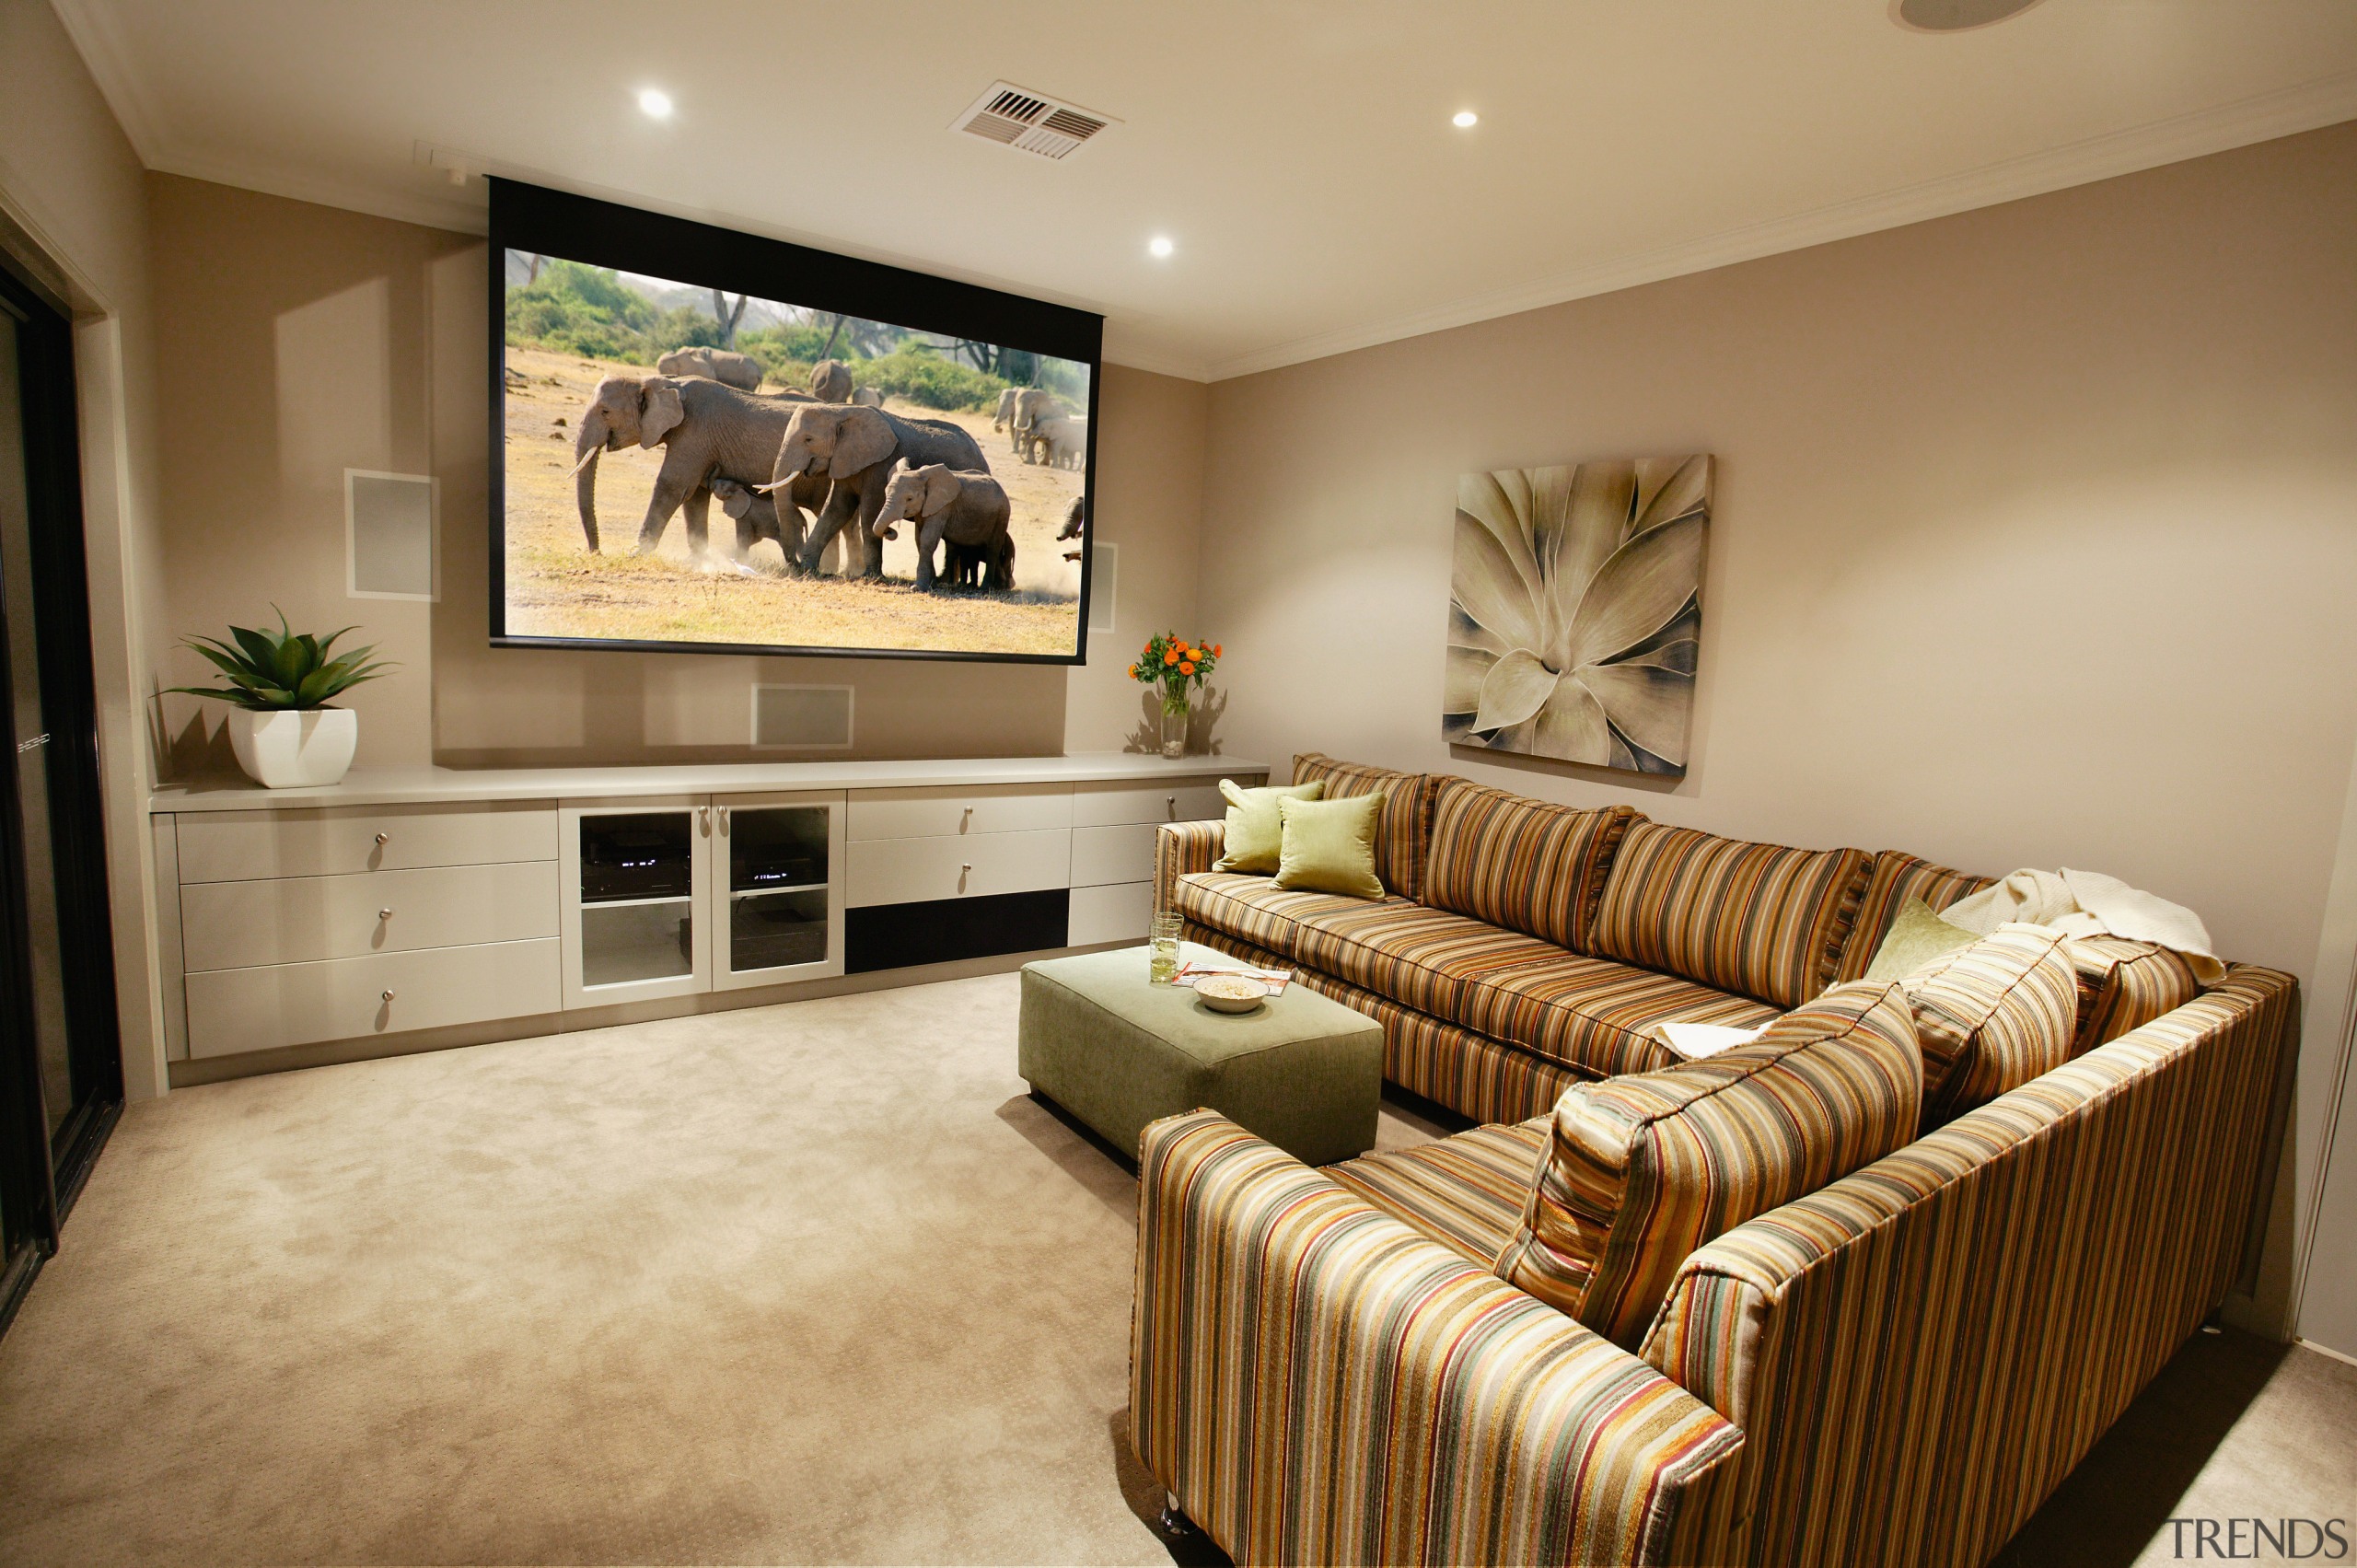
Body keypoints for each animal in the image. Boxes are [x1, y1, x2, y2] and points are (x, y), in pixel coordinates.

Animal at [573, 375, 825, 556]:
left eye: (605, 412)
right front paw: (699, 559)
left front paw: (636, 554)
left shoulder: (693, 433)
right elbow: (695, 497)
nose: (597, 553)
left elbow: (672, 486)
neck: (658, 382)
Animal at [763, 401, 985, 577]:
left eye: (808, 439)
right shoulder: (846, 460)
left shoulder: (881, 464)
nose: (794, 565)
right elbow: (835, 510)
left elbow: (870, 513)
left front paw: (870, 577)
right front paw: (809, 570)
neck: (840, 411)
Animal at [872, 464, 1008, 594]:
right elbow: (919, 540)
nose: (889, 531)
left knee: (992, 549)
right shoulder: (925, 507)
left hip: (1002, 516)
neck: (921, 474)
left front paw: (917, 588)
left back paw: (985, 588)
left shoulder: (943, 507)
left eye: (909, 499)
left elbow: (928, 539)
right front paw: (932, 585)